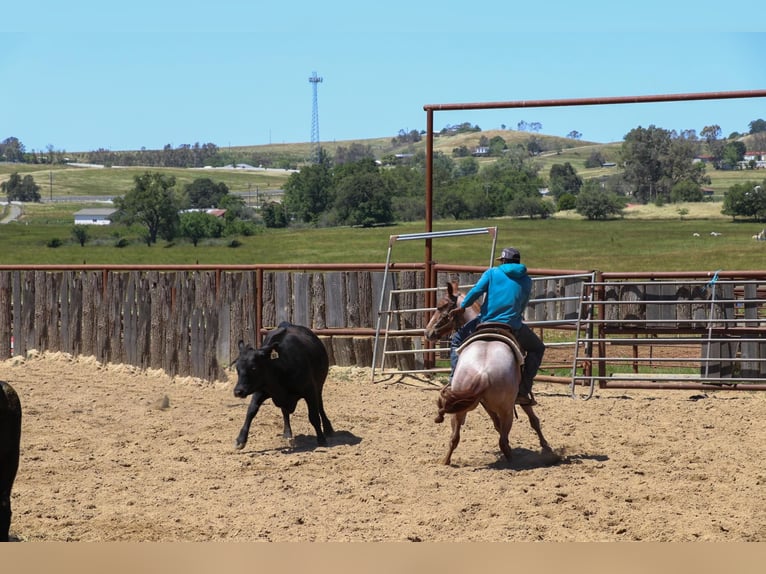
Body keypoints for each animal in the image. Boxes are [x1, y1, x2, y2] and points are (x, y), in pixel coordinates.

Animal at [424, 282, 556, 466]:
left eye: (441, 307)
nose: (428, 332)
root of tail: (483, 373)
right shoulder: (517, 398)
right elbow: (532, 420)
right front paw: (546, 447)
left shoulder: (486, 403)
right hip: (506, 409)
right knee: (502, 439)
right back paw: (512, 460)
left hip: (463, 407)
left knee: (455, 437)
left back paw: (445, 461)